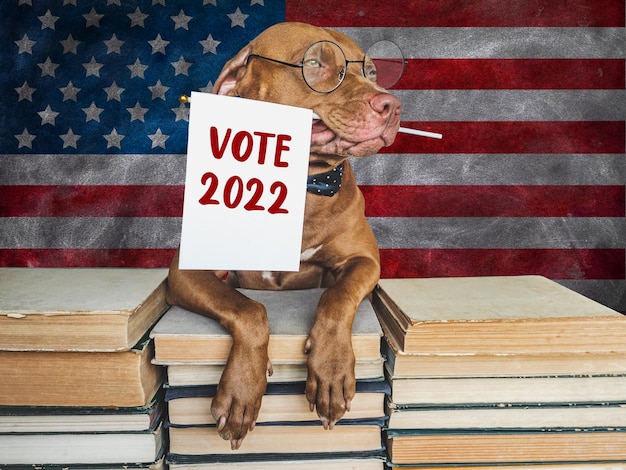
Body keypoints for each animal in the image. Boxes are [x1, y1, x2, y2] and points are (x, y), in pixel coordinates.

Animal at [166, 22, 400, 448]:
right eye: (314, 63)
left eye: (372, 72)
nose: (391, 105)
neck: (302, 183)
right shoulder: (185, 271)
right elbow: (249, 308)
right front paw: (242, 389)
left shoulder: (365, 262)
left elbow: (337, 296)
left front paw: (331, 367)